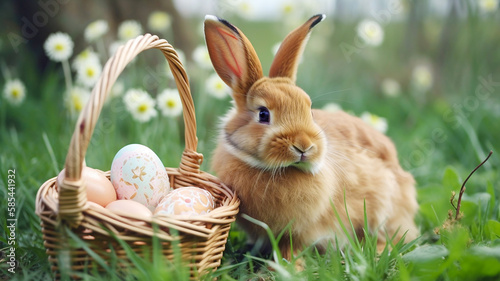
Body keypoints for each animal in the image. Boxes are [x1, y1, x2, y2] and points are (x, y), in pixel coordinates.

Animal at [203, 13, 418, 260]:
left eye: (310, 112)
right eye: (263, 114)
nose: (304, 146)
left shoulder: (300, 233)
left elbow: (292, 248)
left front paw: (289, 264)